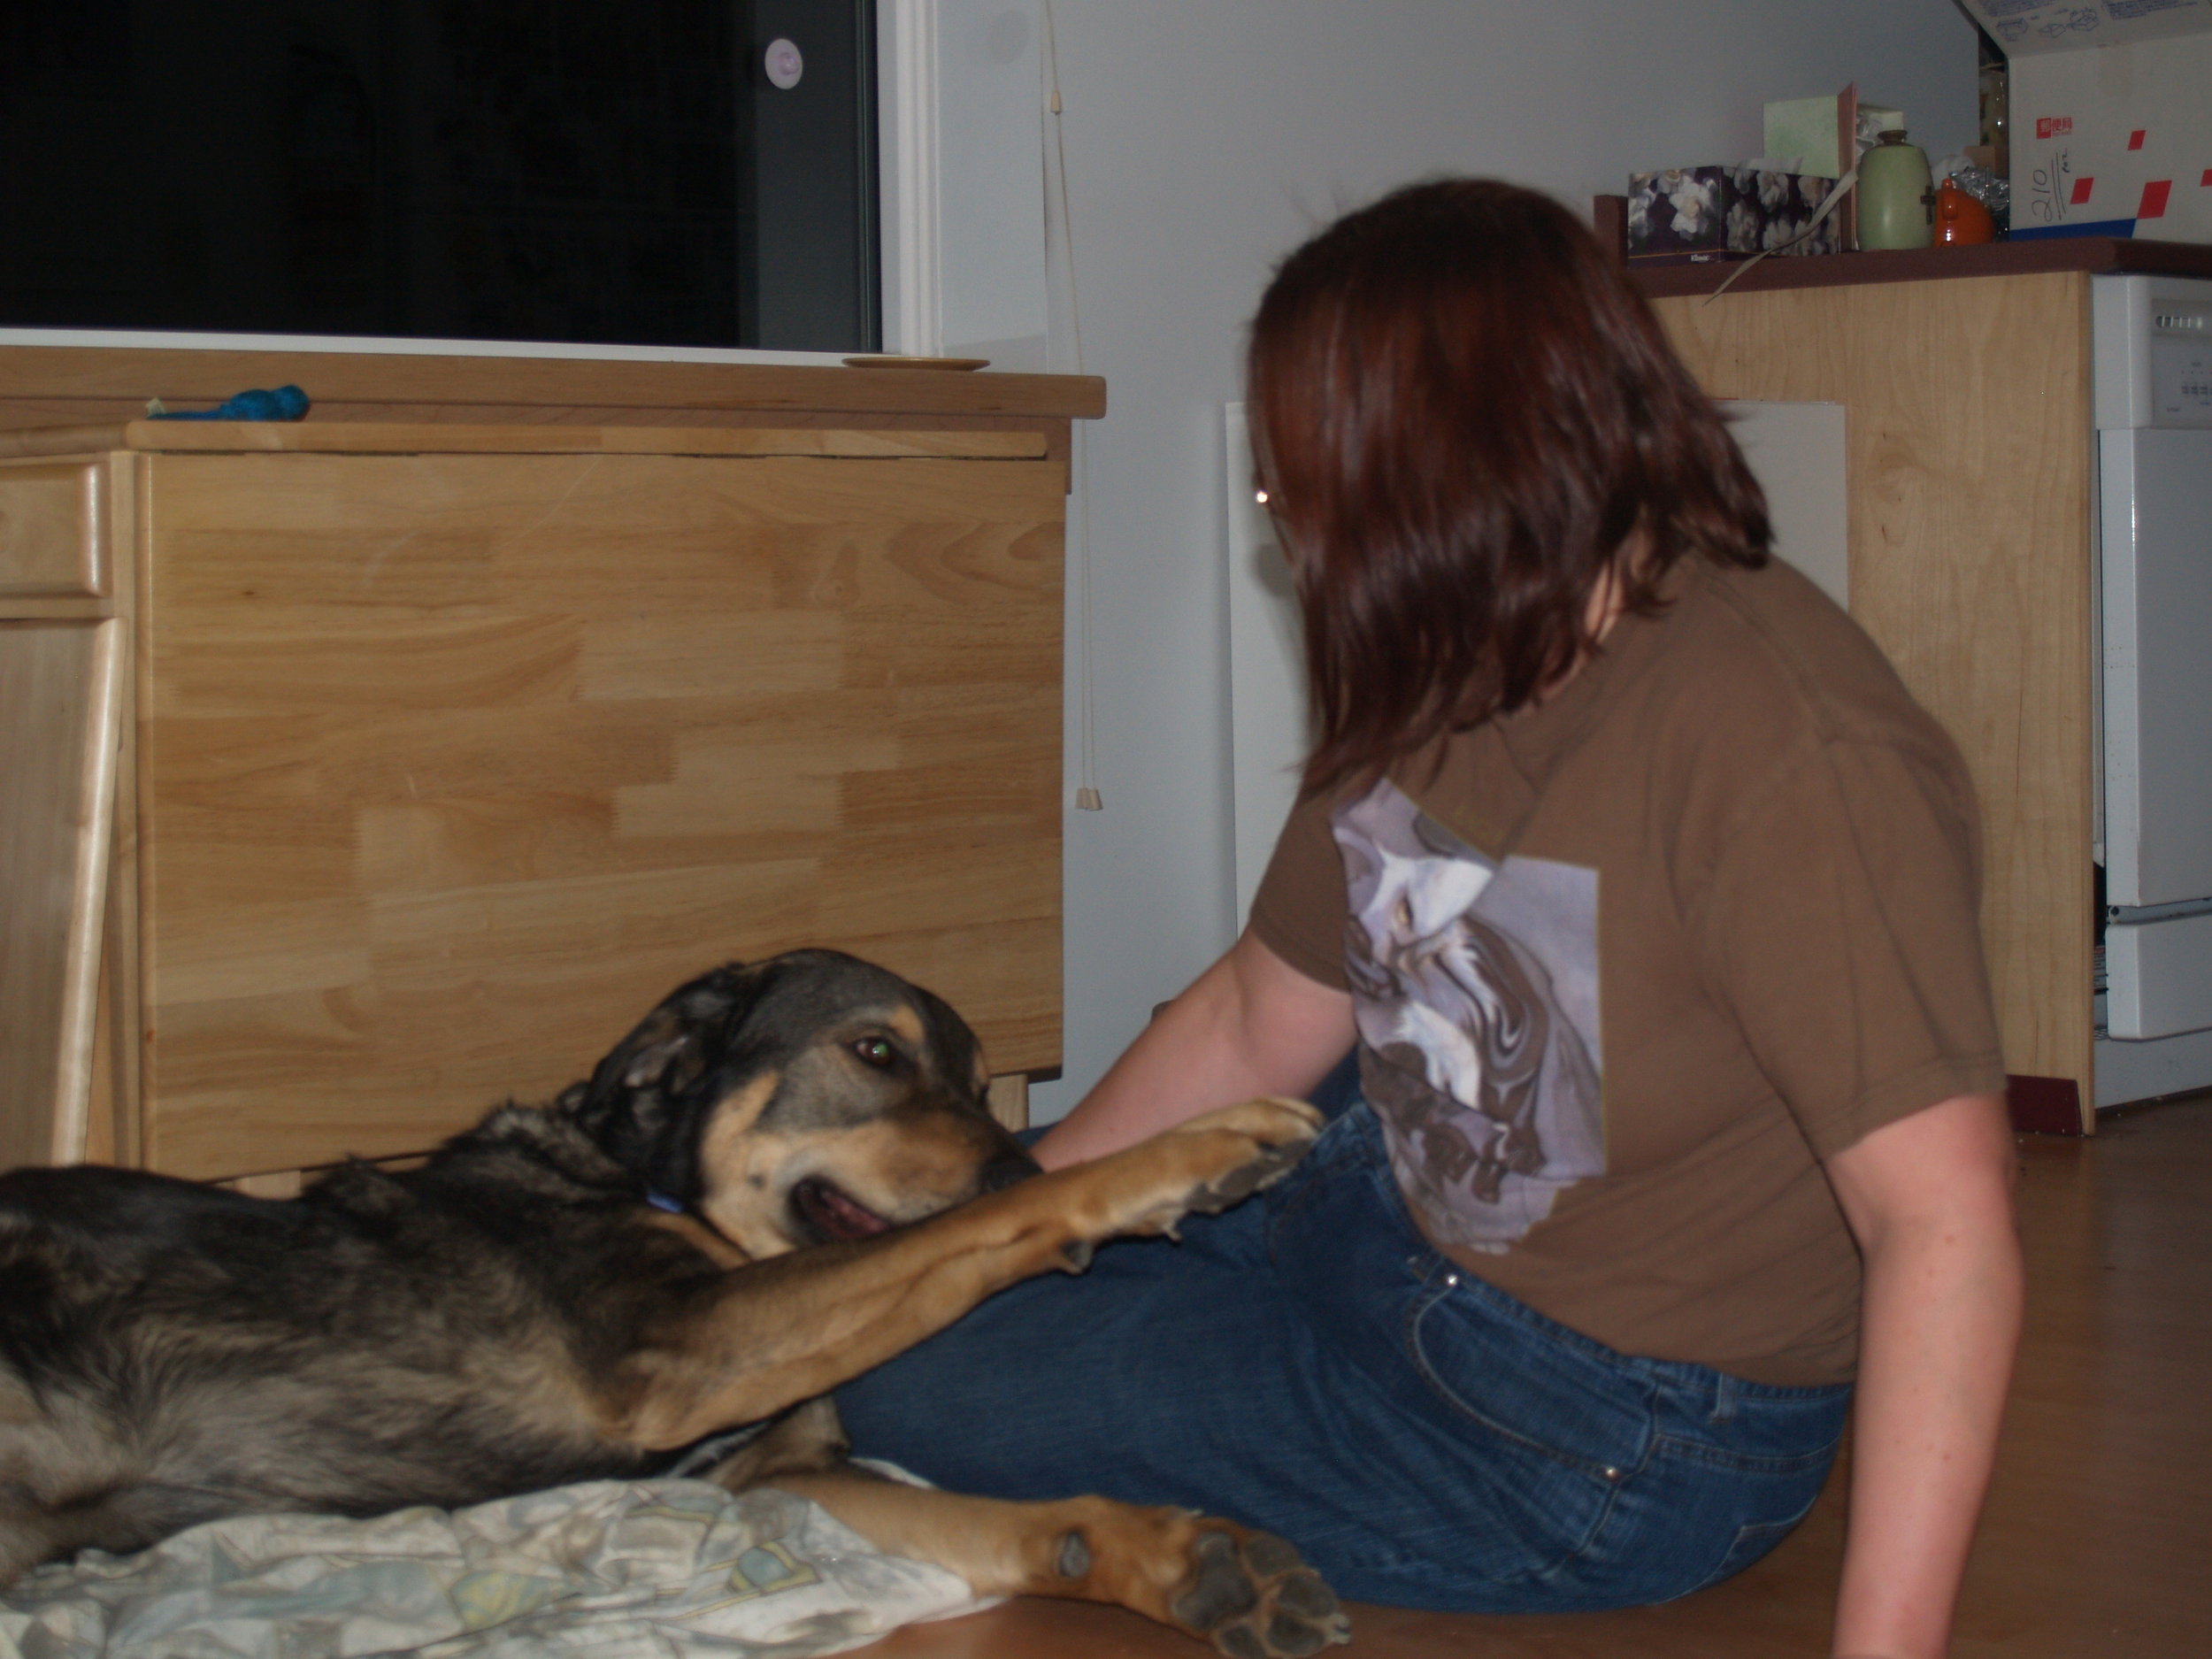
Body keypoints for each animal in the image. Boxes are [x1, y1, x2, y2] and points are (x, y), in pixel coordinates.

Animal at [0, 956, 1345, 1655]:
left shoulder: (775, 1474)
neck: (651, 1182)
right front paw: (1185, 1149)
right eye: (874, 1053)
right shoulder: (681, 1347)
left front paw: (1186, 1563)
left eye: (976, 1080)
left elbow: (1021, 1523)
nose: (1014, 1157)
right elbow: (974, 1234)